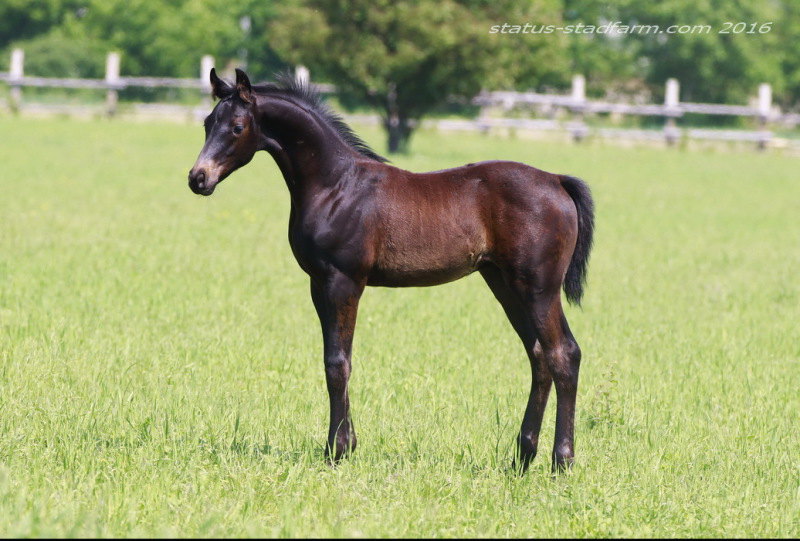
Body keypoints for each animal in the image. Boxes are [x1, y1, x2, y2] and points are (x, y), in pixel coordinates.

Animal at [186, 68, 592, 472]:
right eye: (208, 123)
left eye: (237, 127)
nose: (198, 178)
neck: (336, 185)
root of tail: (557, 180)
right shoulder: (318, 284)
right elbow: (334, 358)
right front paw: (346, 444)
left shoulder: (343, 281)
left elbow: (338, 363)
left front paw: (337, 450)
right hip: (505, 283)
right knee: (538, 355)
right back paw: (522, 457)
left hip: (538, 287)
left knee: (564, 354)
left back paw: (562, 461)